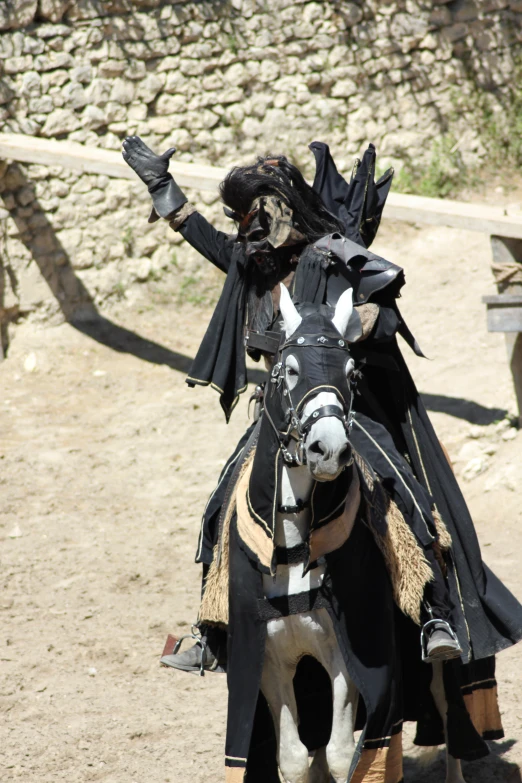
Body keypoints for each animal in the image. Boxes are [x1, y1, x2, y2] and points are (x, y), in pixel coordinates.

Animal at [252, 286, 464, 783]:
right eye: (290, 370)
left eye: (351, 373)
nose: (328, 450)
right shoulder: (272, 662)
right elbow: (295, 759)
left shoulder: (344, 657)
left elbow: (338, 753)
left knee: (448, 710)